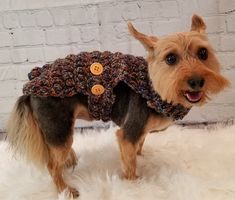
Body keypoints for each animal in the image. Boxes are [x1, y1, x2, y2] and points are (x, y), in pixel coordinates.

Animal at [6, 14, 230, 198]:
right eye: (171, 58)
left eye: (203, 53)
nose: (197, 81)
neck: (153, 87)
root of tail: (30, 87)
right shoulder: (129, 131)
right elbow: (130, 163)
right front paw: (134, 186)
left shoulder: (140, 132)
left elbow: (138, 148)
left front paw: (142, 158)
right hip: (57, 124)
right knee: (52, 165)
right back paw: (66, 189)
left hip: (61, 127)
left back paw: (70, 162)